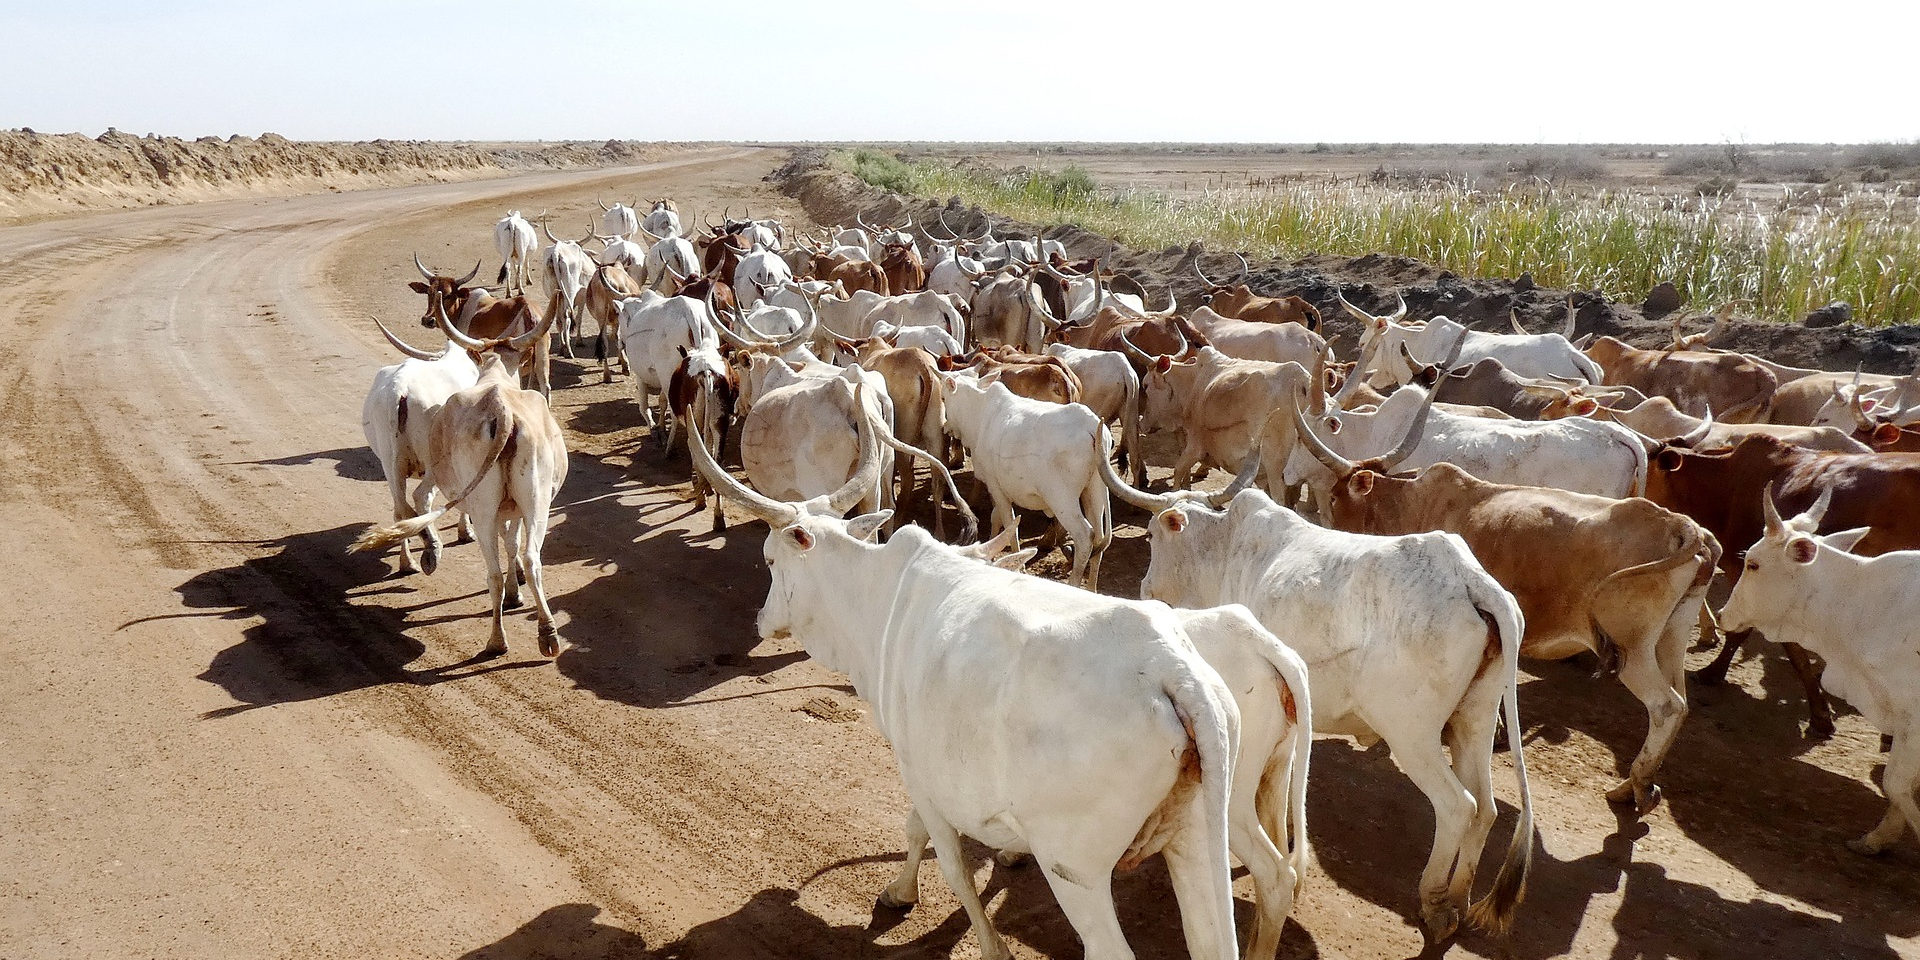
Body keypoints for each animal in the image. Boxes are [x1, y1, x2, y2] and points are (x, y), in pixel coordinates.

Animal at [687, 424, 1259, 960]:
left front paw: (980, 939)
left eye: (769, 560)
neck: (881, 596)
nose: (763, 620)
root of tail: (1172, 671)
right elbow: (921, 835)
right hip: (1194, 840)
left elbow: (949, 862)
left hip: (1074, 868)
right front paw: (899, 892)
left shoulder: (919, 772)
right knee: (1210, 940)